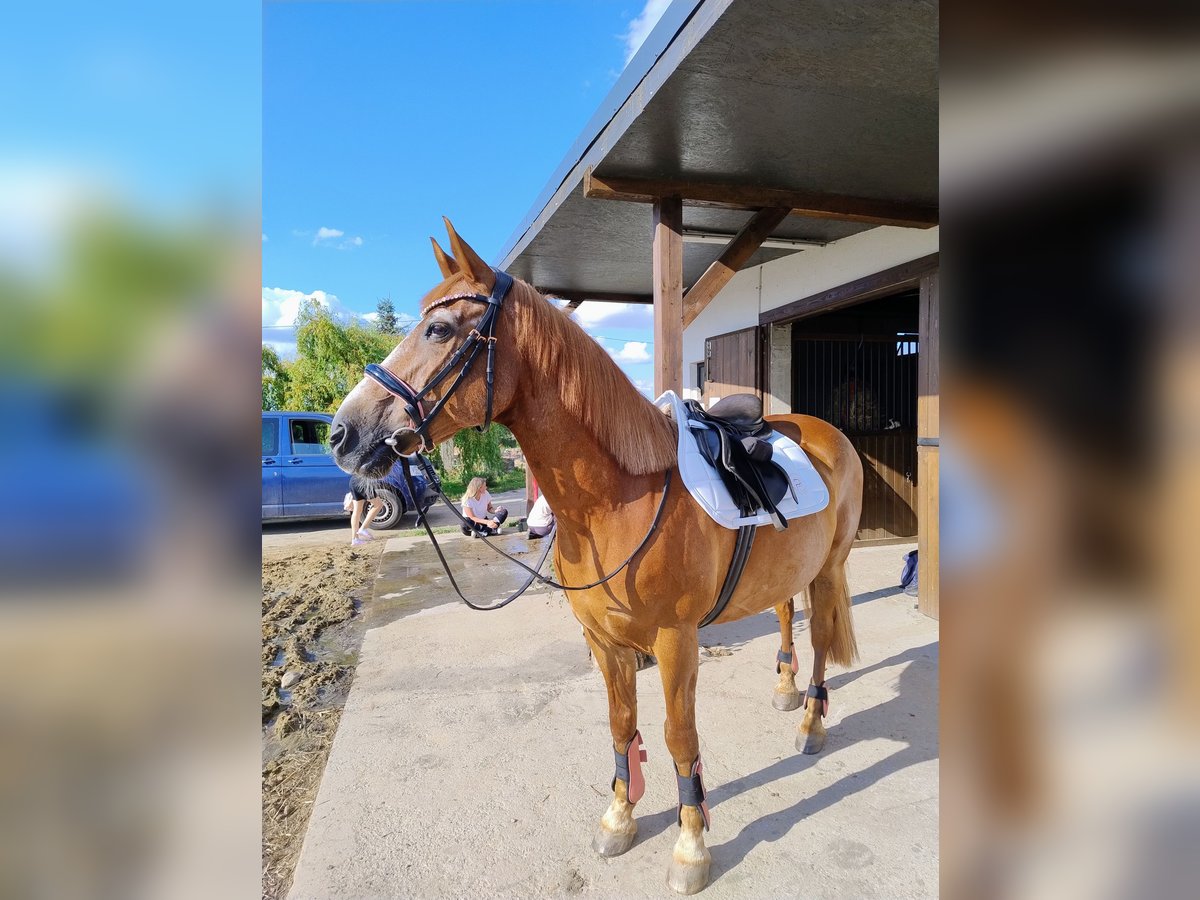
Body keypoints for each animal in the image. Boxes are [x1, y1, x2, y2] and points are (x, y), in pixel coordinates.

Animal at [331, 220, 864, 897]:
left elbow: (678, 735)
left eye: (440, 330)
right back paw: (786, 688)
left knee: (821, 638)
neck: (618, 497)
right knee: (785, 616)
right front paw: (619, 817)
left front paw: (691, 846)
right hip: (788, 572)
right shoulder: (605, 642)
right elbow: (620, 726)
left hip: (830, 568)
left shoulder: (675, 640)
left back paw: (812, 724)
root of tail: (828, 434)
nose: (342, 434)